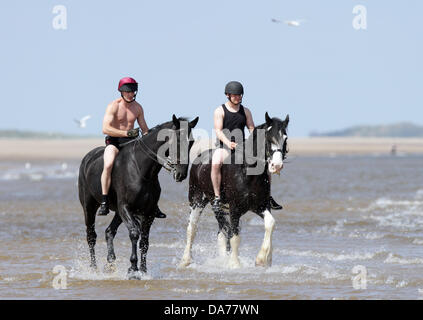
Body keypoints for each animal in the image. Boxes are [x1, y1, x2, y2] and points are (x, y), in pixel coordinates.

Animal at [79, 114, 199, 278]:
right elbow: (134, 233)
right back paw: (93, 268)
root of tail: (87, 158)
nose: (181, 173)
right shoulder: (125, 207)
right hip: (89, 207)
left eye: (191, 142)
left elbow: (144, 242)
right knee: (91, 236)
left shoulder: (148, 213)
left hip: (118, 212)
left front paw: (143, 270)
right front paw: (133, 269)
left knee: (109, 231)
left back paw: (111, 264)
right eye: (176, 140)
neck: (142, 169)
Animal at [181, 112, 290, 268]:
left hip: (220, 207)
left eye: (285, 138)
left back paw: (222, 259)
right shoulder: (235, 209)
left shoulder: (261, 206)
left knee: (222, 231)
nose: (277, 165)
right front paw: (234, 264)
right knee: (192, 228)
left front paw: (263, 259)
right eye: (268, 138)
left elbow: (270, 224)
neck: (248, 173)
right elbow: (235, 236)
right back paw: (186, 260)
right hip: (197, 200)